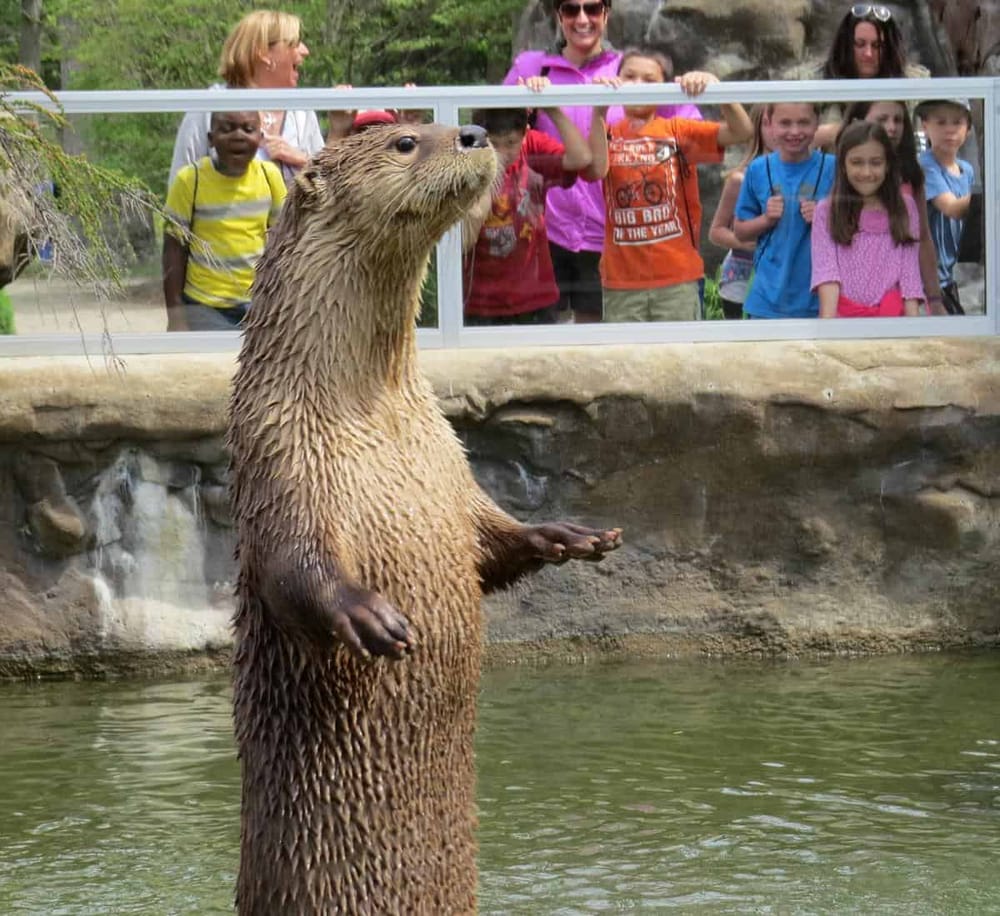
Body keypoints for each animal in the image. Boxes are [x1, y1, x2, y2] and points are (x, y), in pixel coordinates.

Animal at [227, 122, 621, 914]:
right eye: (406, 141)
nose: (473, 131)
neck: (373, 417)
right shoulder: (280, 461)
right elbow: (293, 567)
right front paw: (368, 615)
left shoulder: (449, 464)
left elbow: (491, 544)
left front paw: (567, 535)